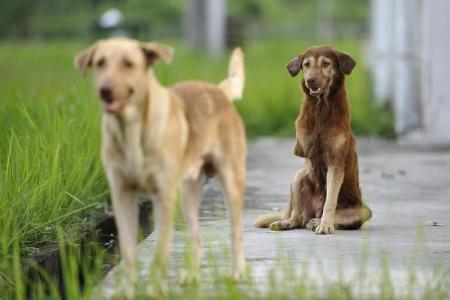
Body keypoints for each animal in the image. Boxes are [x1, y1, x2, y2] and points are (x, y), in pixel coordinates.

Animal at [75, 37, 248, 288]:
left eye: (128, 63)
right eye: (100, 63)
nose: (105, 90)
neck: (130, 130)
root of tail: (218, 91)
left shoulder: (163, 196)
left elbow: (161, 252)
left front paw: (156, 289)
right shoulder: (122, 195)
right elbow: (128, 251)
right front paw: (127, 290)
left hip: (231, 182)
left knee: (236, 231)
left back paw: (237, 273)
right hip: (187, 196)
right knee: (197, 236)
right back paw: (193, 275)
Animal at [255, 45, 370, 234]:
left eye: (326, 64)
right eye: (306, 65)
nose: (311, 81)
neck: (321, 108)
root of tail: (313, 211)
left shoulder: (336, 162)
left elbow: (330, 201)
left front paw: (325, 225)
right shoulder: (304, 149)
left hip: (363, 211)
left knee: (327, 216)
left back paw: (317, 221)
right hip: (298, 177)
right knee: (297, 216)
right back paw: (286, 223)